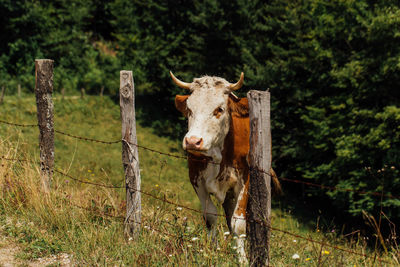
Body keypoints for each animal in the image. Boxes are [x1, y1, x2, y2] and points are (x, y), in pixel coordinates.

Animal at [171, 70, 282, 264]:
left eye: (219, 109)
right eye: (189, 110)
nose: (193, 141)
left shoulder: (244, 181)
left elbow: (238, 224)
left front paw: (243, 260)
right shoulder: (196, 179)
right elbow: (210, 216)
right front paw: (211, 251)